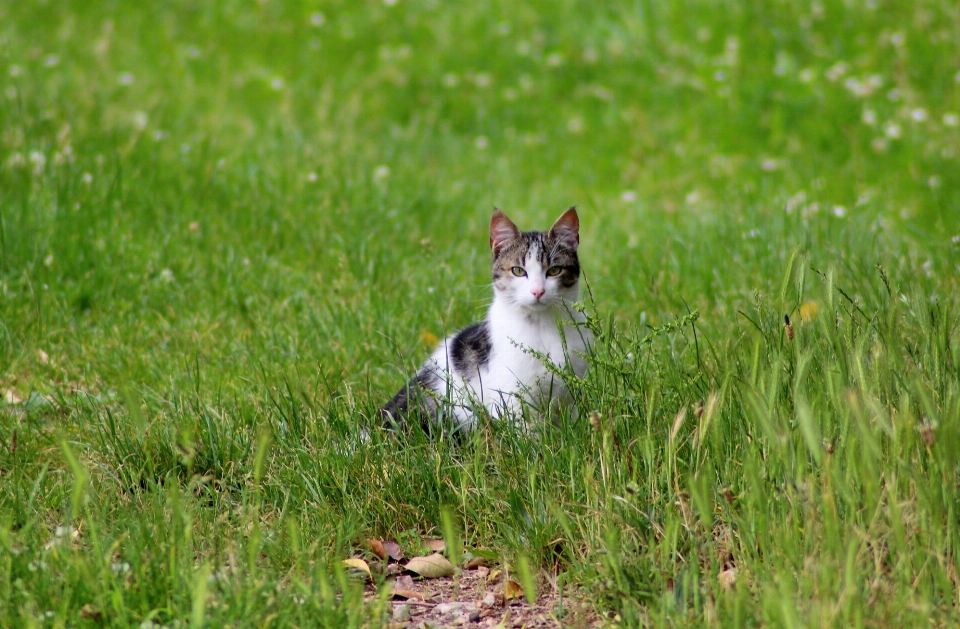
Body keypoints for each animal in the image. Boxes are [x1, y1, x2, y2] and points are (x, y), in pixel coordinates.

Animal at [382, 206, 592, 432]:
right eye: (518, 271)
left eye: (554, 270)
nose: (538, 291)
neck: (541, 325)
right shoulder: (510, 396)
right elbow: (524, 431)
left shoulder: (570, 390)